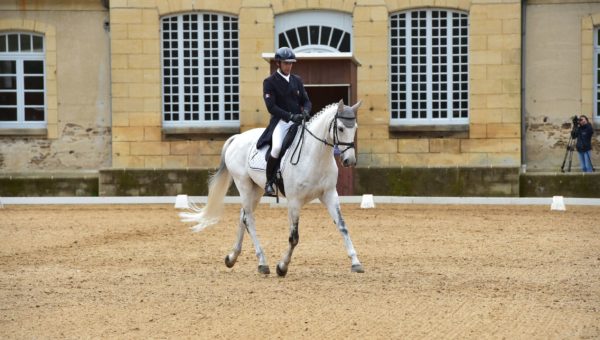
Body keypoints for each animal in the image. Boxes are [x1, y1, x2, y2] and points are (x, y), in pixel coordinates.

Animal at [180, 99, 364, 274]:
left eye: (355, 127)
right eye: (340, 128)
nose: (349, 161)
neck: (315, 155)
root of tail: (237, 138)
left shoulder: (329, 194)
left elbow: (343, 226)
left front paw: (356, 262)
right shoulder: (294, 201)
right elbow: (294, 237)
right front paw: (282, 267)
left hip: (256, 189)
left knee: (243, 216)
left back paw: (232, 257)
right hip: (244, 184)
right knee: (249, 219)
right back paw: (262, 263)